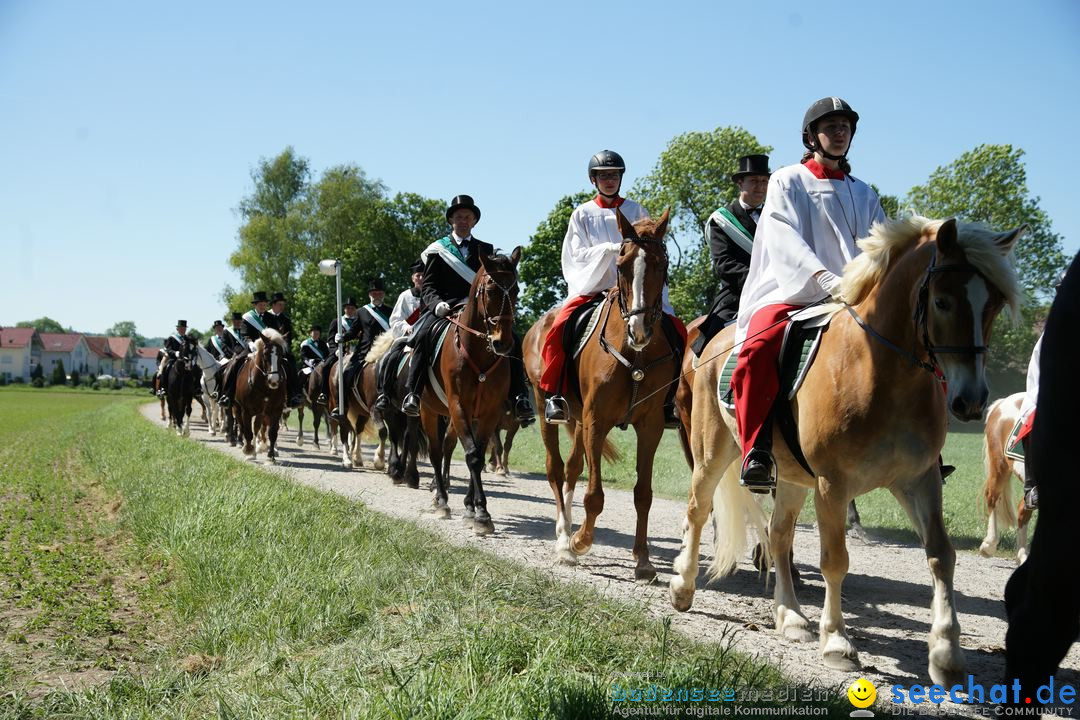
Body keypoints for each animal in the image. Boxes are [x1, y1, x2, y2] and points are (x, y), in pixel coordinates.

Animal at [232, 325, 289, 462]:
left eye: (281, 354)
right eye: (265, 354)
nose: (274, 381)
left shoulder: (276, 410)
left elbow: (272, 432)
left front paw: (271, 456)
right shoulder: (246, 410)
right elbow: (247, 431)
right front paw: (248, 451)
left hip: (260, 412)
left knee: (257, 427)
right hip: (237, 407)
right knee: (243, 426)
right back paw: (247, 447)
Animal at [522, 205, 673, 582]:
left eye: (661, 265)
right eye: (621, 264)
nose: (639, 330)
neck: (635, 355)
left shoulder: (650, 427)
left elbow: (643, 494)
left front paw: (643, 559)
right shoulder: (597, 420)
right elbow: (595, 495)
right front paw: (580, 541)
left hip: (577, 418)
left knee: (572, 468)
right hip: (545, 407)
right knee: (556, 469)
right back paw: (564, 539)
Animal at [669, 215, 1023, 686]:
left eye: (994, 306)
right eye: (943, 301)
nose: (972, 401)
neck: (880, 372)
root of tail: (714, 339)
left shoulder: (919, 480)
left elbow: (941, 555)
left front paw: (946, 653)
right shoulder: (833, 485)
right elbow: (835, 560)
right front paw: (837, 641)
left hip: (792, 476)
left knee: (778, 536)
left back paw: (791, 617)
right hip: (712, 452)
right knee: (697, 508)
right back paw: (683, 586)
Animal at [976, 390, 1032, 565]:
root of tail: (1001, 403)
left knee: (1022, 508)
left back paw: (1022, 555)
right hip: (999, 466)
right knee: (992, 498)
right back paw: (989, 545)